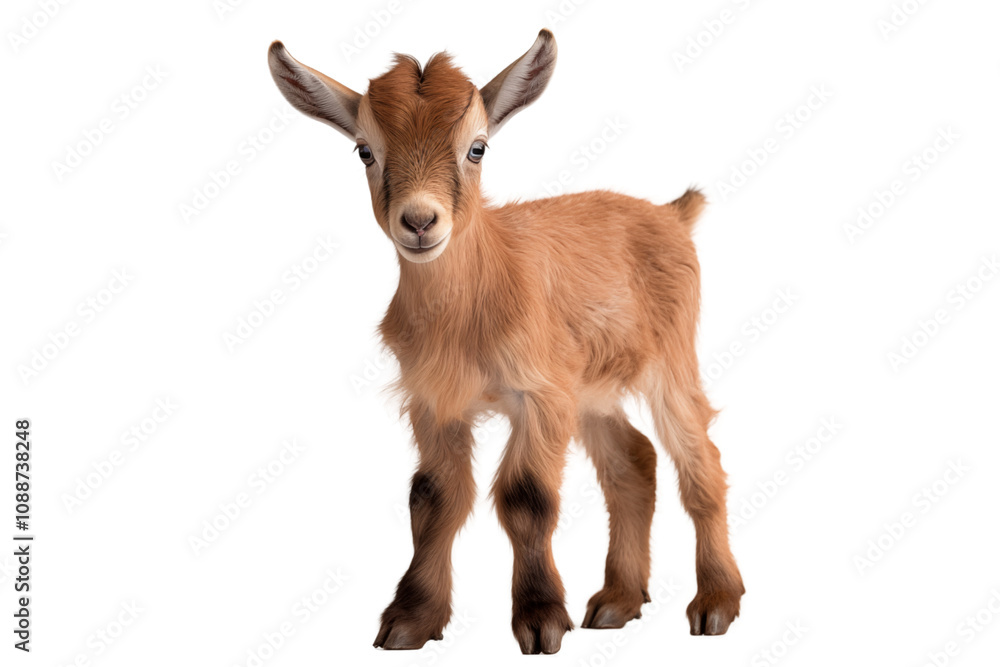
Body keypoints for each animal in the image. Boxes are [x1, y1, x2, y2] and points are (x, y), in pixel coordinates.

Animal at [268, 29, 744, 654]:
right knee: (633, 462)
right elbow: (432, 498)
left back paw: (715, 602)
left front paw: (541, 619)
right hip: (590, 390)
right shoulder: (436, 401)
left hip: (670, 359)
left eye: (478, 149)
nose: (419, 222)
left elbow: (526, 497)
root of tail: (670, 214)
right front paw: (410, 619)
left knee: (700, 463)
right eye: (364, 151)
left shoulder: (539, 394)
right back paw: (617, 601)